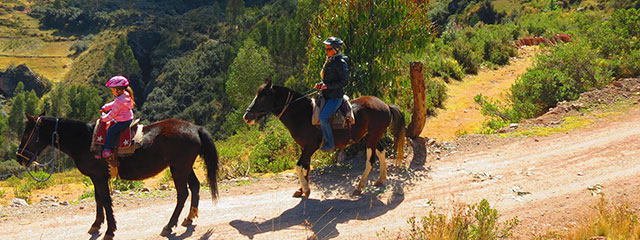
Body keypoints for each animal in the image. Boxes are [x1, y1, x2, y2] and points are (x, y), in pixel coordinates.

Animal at [15, 113, 219, 239]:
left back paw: (169, 225)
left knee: (182, 193)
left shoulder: (99, 176)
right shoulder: (95, 177)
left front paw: (110, 230)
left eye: (27, 133)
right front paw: (96, 224)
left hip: (179, 168)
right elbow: (98, 199)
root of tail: (195, 128)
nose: (19, 158)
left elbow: (105, 200)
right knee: (195, 186)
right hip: (184, 167)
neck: (84, 140)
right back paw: (189, 218)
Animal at [242, 79, 402, 197]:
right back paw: (381, 179)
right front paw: (301, 190)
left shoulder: (310, 147)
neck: (303, 114)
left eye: (262, 96)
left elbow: (299, 166)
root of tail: (385, 105)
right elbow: (306, 167)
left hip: (372, 138)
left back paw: (359, 187)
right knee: (381, 152)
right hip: (373, 136)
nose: (246, 116)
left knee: (370, 160)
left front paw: (306, 190)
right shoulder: (304, 148)